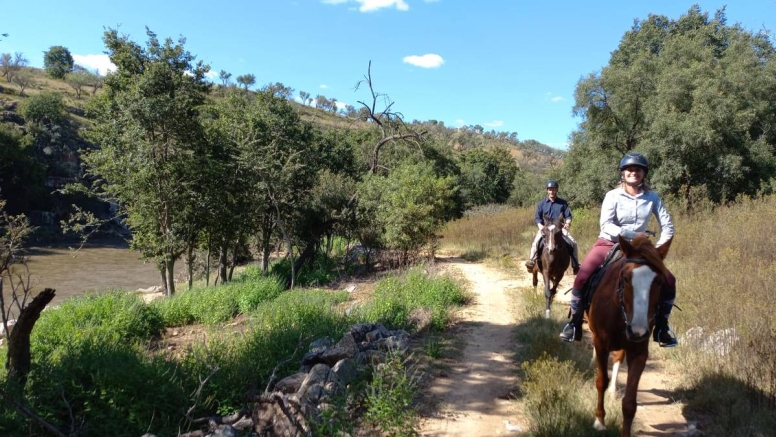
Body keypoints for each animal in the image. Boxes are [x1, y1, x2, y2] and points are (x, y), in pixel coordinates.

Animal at [584, 235, 668, 436]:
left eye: (659, 281)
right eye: (626, 278)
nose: (638, 331)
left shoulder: (639, 352)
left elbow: (630, 403)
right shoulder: (600, 344)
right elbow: (601, 381)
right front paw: (599, 421)